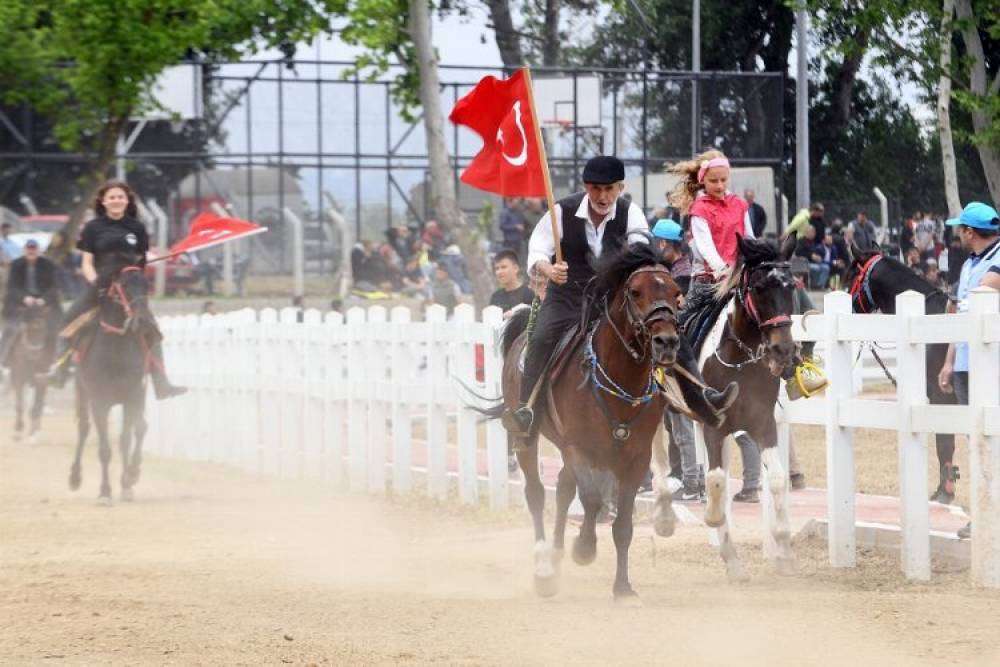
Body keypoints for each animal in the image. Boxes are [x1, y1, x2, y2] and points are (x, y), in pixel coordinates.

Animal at [9, 304, 53, 440]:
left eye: (43, 330)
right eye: (29, 330)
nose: (35, 354)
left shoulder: (41, 380)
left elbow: (36, 406)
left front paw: (33, 435)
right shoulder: (18, 378)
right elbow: (19, 404)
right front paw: (18, 430)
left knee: (39, 404)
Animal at [68, 268, 151, 506]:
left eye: (147, 284)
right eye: (124, 286)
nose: (143, 320)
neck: (116, 351)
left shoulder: (133, 396)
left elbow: (129, 437)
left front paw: (129, 480)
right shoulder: (99, 401)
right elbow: (105, 449)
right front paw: (105, 492)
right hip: (82, 392)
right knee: (83, 428)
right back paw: (75, 477)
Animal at [496, 244, 732, 600]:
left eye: (676, 293)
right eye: (635, 292)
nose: (666, 342)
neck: (621, 378)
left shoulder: (636, 457)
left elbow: (622, 524)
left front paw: (622, 586)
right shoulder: (580, 449)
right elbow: (592, 499)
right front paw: (584, 549)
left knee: (563, 489)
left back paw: (556, 554)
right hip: (528, 437)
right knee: (537, 493)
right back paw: (544, 567)